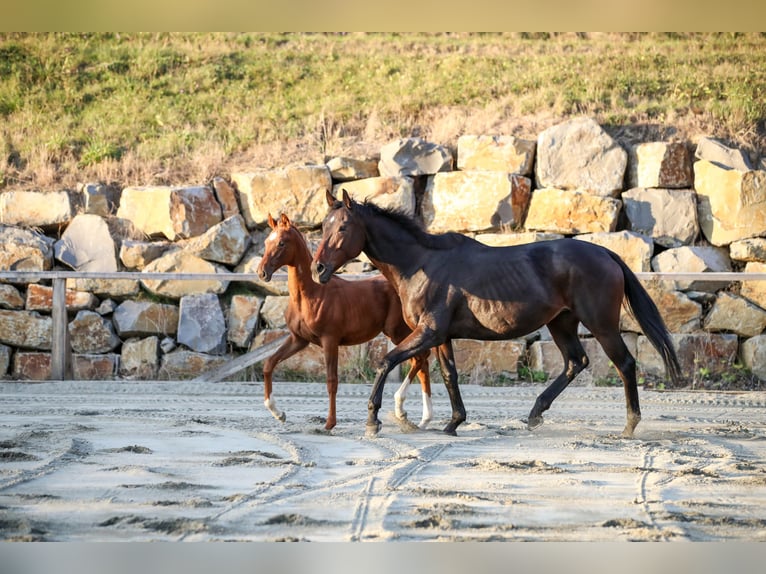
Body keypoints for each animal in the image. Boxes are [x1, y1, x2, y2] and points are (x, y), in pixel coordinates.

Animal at [254, 215, 428, 432]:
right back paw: (418, 418)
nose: (262, 273)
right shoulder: (298, 339)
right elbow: (269, 364)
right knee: (421, 362)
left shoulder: (330, 340)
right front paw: (278, 413)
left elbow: (331, 381)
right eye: (265, 242)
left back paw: (405, 412)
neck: (311, 294)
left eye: (281, 243)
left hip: (398, 332)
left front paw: (329, 423)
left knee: (421, 359)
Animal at [312, 191, 684, 438]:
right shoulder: (441, 336)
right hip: (561, 323)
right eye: (324, 225)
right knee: (575, 363)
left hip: (601, 325)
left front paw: (373, 420)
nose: (318, 270)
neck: (421, 264)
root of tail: (607, 253)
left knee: (624, 364)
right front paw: (453, 422)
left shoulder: (428, 332)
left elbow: (386, 361)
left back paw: (629, 425)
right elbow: (449, 375)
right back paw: (534, 415)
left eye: (343, 227)